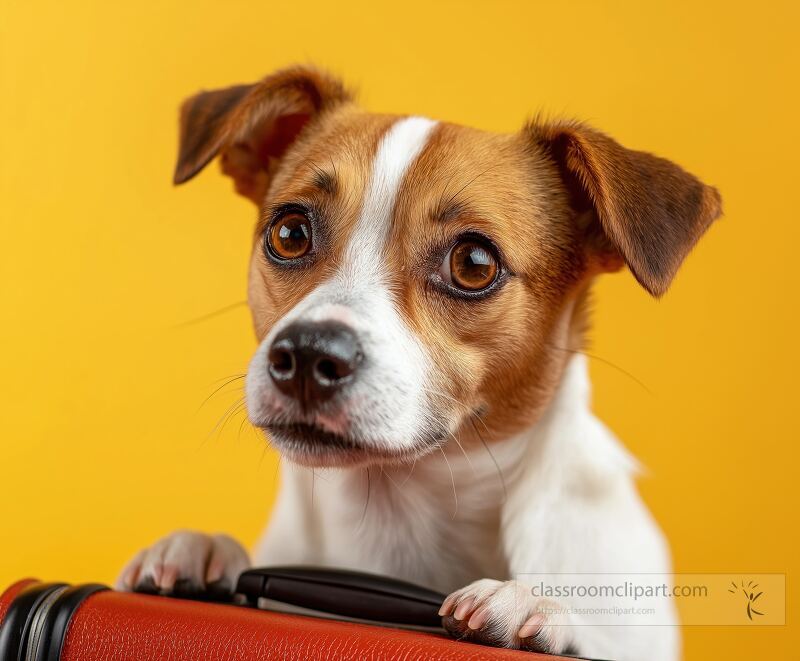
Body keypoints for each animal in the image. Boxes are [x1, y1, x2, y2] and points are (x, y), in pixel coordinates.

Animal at [117, 63, 720, 660]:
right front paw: (202, 550)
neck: (395, 514)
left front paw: (533, 604)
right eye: (289, 232)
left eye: (473, 263)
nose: (308, 353)